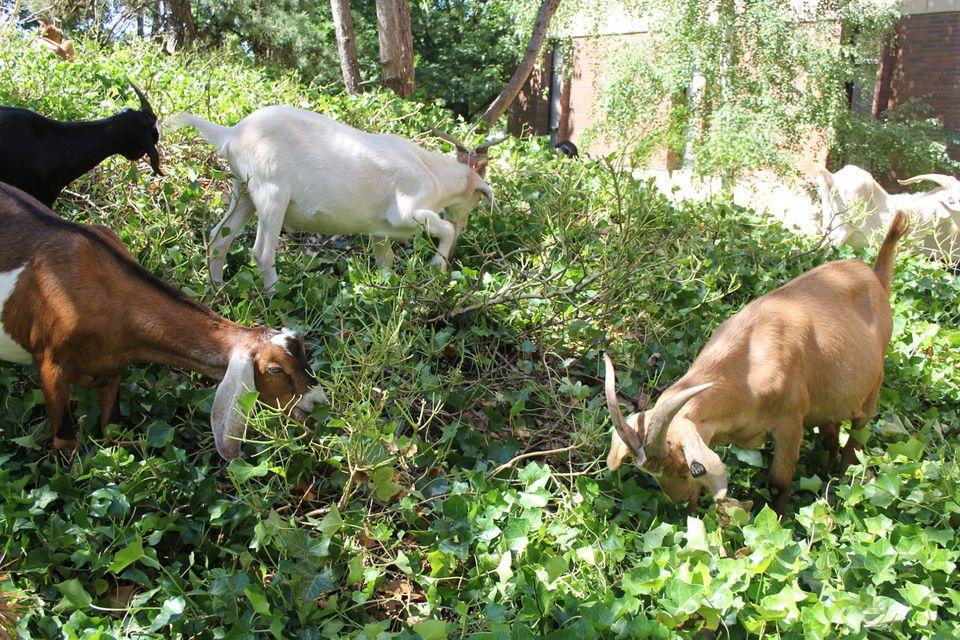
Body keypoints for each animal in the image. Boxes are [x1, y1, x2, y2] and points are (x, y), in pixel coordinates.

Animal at [0, 182, 326, 458]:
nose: (317, 403)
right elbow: (66, 443)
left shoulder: (112, 368)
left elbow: (113, 429)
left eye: (305, 353)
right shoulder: (51, 365)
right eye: (275, 369)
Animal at [163, 106, 502, 292]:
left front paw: (387, 291)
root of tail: (232, 133)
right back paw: (276, 296)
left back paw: (217, 288)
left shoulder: (381, 233)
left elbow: (386, 263)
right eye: (476, 198)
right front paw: (437, 267)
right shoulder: (409, 210)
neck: (431, 171)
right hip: (272, 191)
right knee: (261, 251)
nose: (466, 222)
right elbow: (445, 229)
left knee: (219, 236)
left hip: (242, 190)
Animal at [604, 212, 912, 512]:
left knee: (857, 437)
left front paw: (779, 519)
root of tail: (875, 277)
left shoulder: (791, 421)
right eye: (652, 475)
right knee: (831, 432)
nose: (680, 502)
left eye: (690, 468)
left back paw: (842, 479)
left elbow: (778, 483)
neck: (748, 365)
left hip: (872, 388)